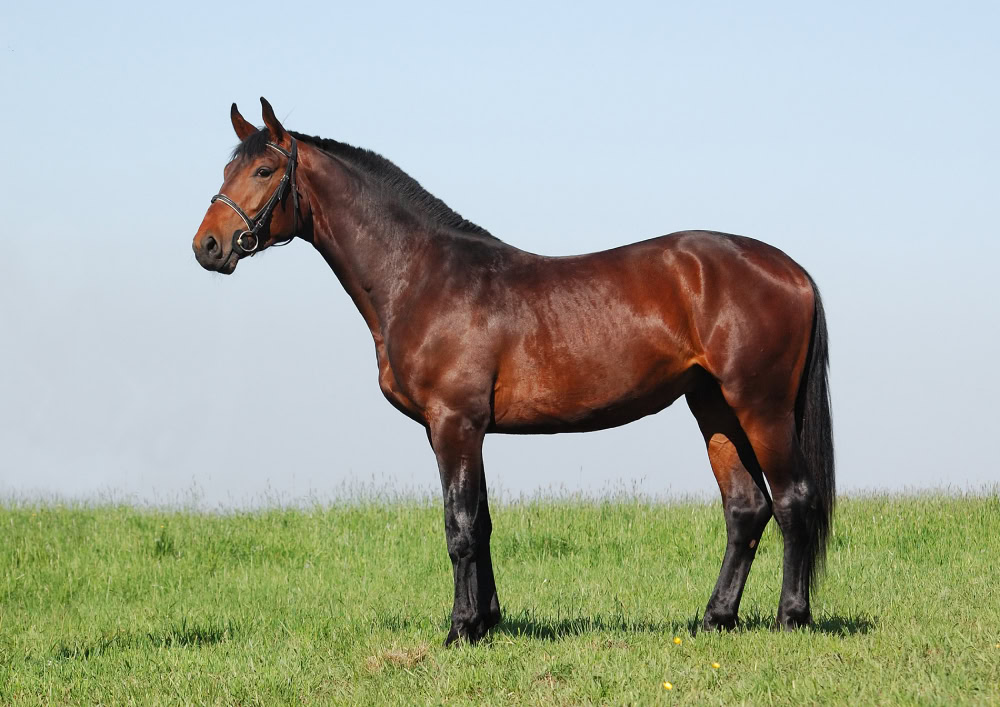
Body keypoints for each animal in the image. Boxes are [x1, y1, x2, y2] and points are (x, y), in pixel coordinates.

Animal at [192, 98, 834, 645]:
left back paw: (791, 618)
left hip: (761, 406)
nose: (208, 245)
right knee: (745, 507)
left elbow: (458, 525)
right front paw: (486, 622)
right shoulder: (461, 429)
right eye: (228, 168)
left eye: (265, 169)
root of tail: (790, 269)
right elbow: (481, 522)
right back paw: (715, 619)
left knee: (792, 499)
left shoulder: (454, 423)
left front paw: (459, 629)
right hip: (713, 406)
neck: (422, 276)